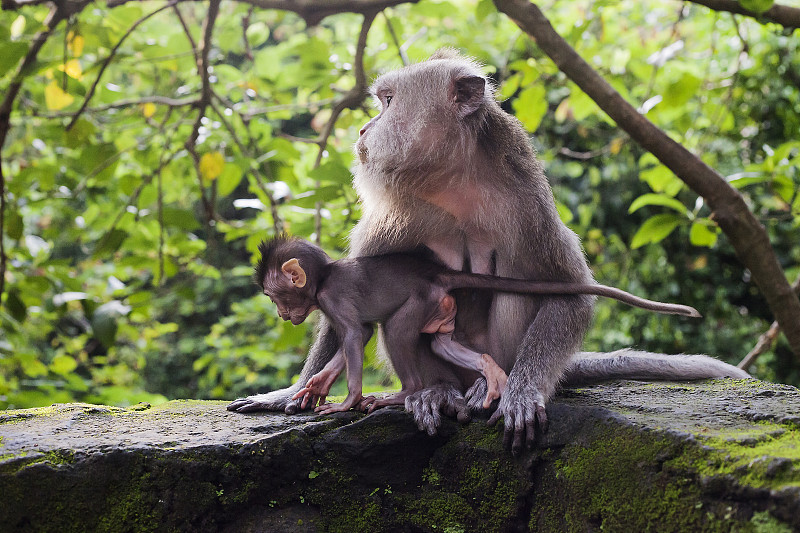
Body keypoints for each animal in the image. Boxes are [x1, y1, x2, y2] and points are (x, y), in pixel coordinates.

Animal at [253, 237, 696, 416]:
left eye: (275, 296)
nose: (283, 315)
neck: (324, 277)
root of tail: (436, 273)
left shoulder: (333, 299)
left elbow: (356, 336)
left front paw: (345, 400)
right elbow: (354, 339)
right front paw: (315, 386)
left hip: (424, 299)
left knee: (396, 330)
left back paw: (408, 394)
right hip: (441, 308)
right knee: (439, 342)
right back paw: (492, 373)